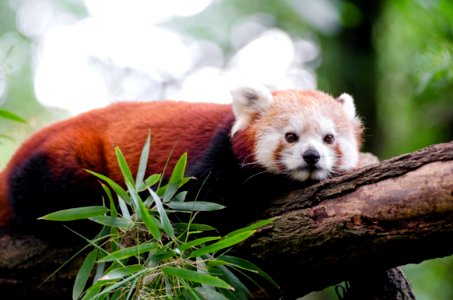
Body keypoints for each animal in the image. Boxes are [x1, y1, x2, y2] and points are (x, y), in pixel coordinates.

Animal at [0, 84, 360, 234]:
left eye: (329, 138)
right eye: (291, 137)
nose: (312, 157)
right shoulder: (218, 154)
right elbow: (197, 201)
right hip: (65, 156)